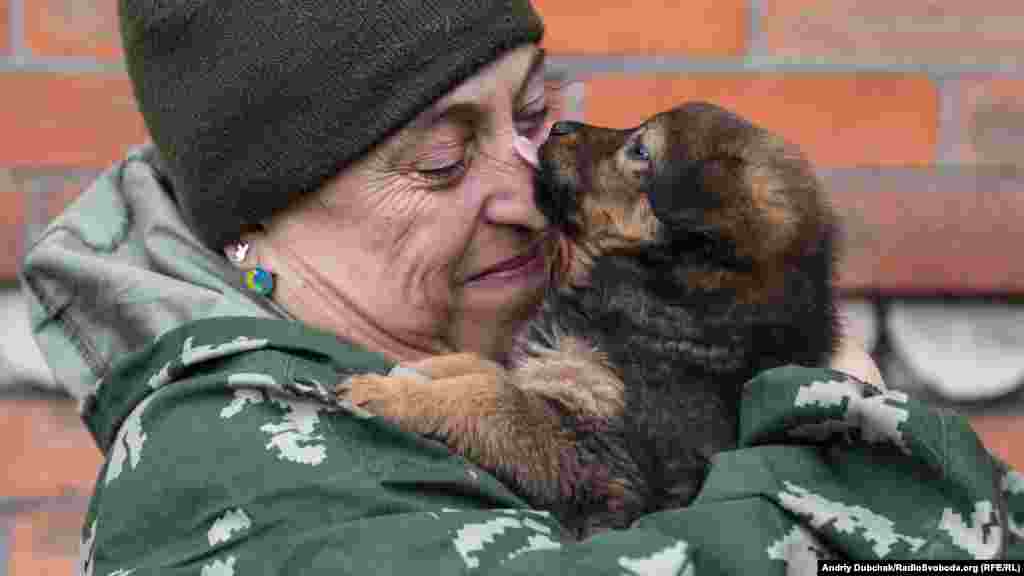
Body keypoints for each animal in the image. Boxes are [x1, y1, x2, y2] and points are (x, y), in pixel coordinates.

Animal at [337, 101, 839, 537]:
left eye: (640, 151)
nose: (558, 126)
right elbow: (480, 366)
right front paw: (408, 371)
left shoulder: (601, 458)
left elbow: (491, 394)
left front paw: (387, 393)